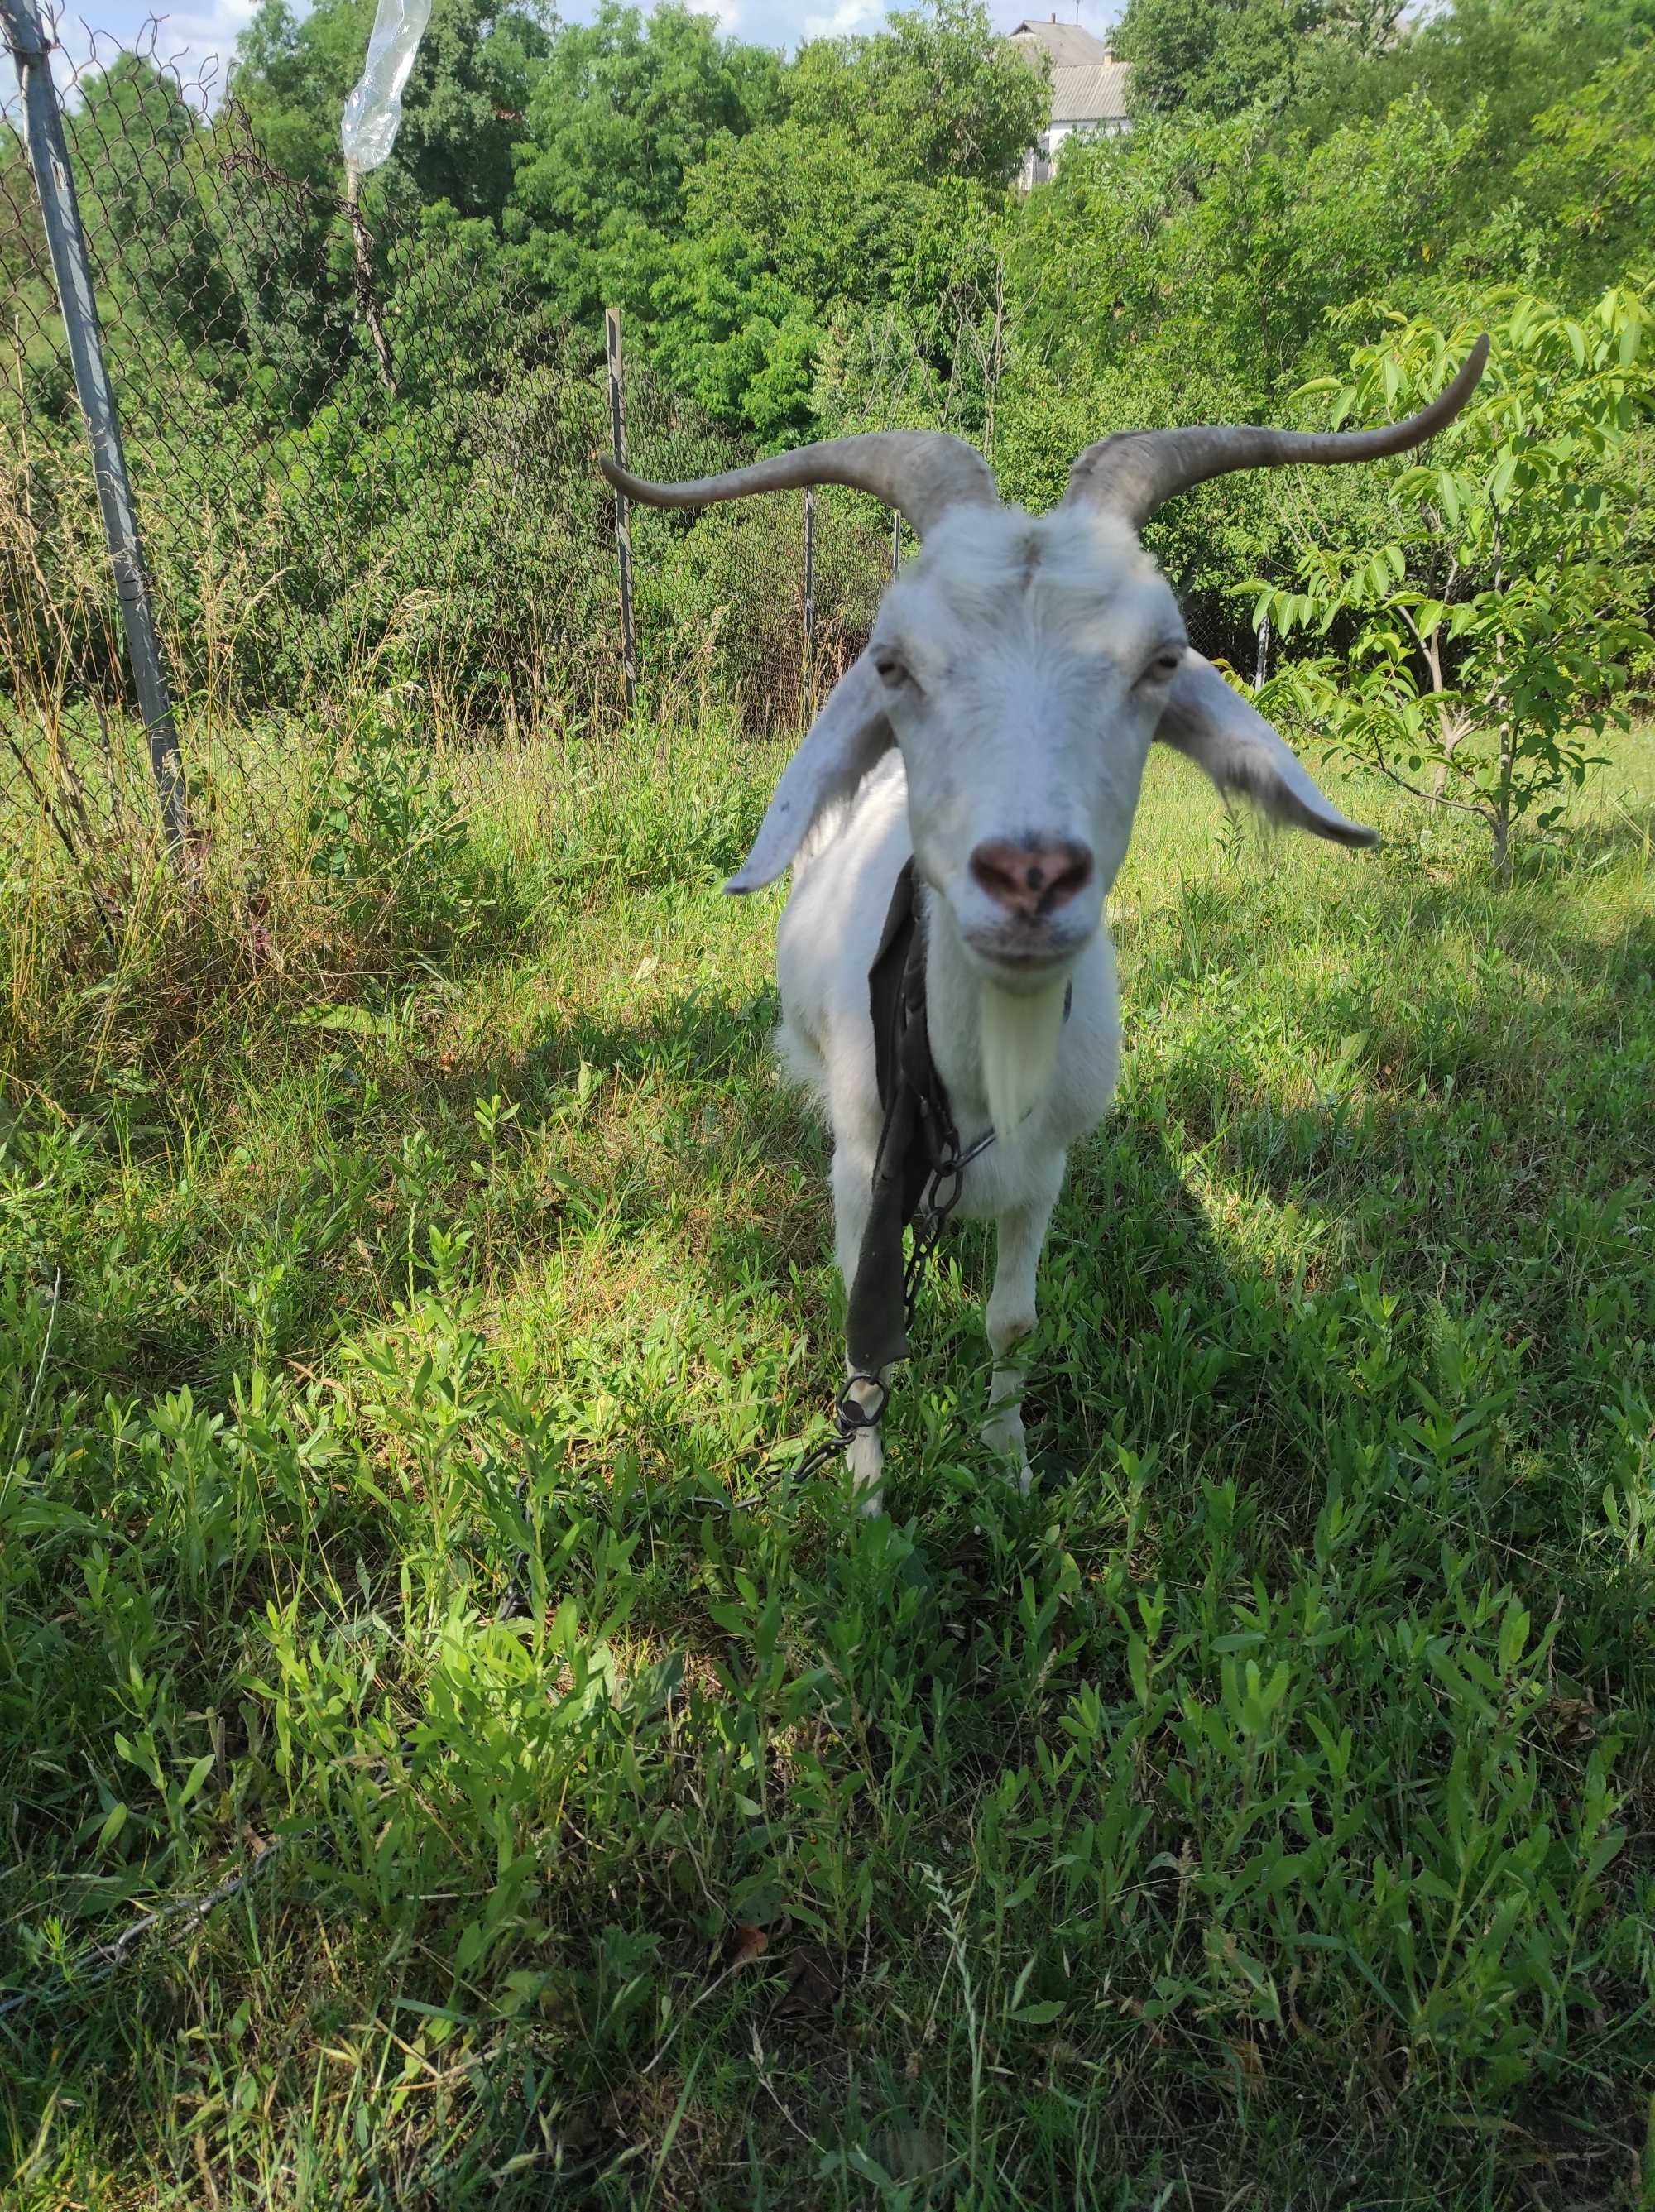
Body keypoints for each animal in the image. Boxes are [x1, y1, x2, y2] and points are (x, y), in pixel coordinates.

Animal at [606, 336, 1486, 1504]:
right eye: (891, 663)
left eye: (1160, 661)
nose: (1030, 874)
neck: (984, 1075)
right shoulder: (864, 1167)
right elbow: (862, 1332)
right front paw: (869, 1491)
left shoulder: (1047, 1169)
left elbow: (1012, 1324)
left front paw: (1009, 1462)